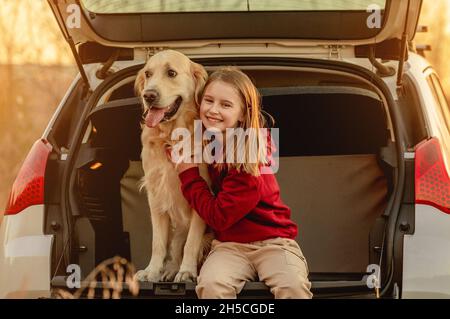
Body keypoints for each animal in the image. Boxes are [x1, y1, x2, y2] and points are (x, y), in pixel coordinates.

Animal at [134, 49, 211, 282]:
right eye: (148, 74)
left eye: (171, 73)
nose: (148, 95)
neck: (171, 136)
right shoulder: (156, 194)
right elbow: (158, 243)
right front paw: (152, 271)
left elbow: (192, 243)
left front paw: (186, 271)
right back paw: (169, 270)